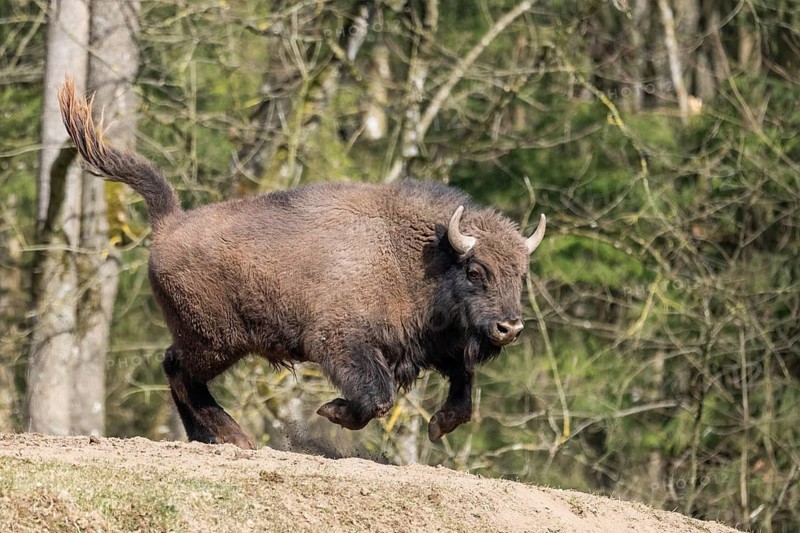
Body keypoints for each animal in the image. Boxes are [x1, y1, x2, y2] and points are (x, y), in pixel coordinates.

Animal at [58, 78, 546, 450]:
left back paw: (211, 438)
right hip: (215, 342)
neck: (418, 252)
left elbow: (462, 396)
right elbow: (378, 398)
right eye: (476, 271)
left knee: (176, 373)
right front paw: (331, 411)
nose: (510, 328)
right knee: (178, 370)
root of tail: (170, 223)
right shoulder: (343, 342)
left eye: (521, 275)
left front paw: (436, 427)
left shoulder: (438, 346)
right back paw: (234, 438)